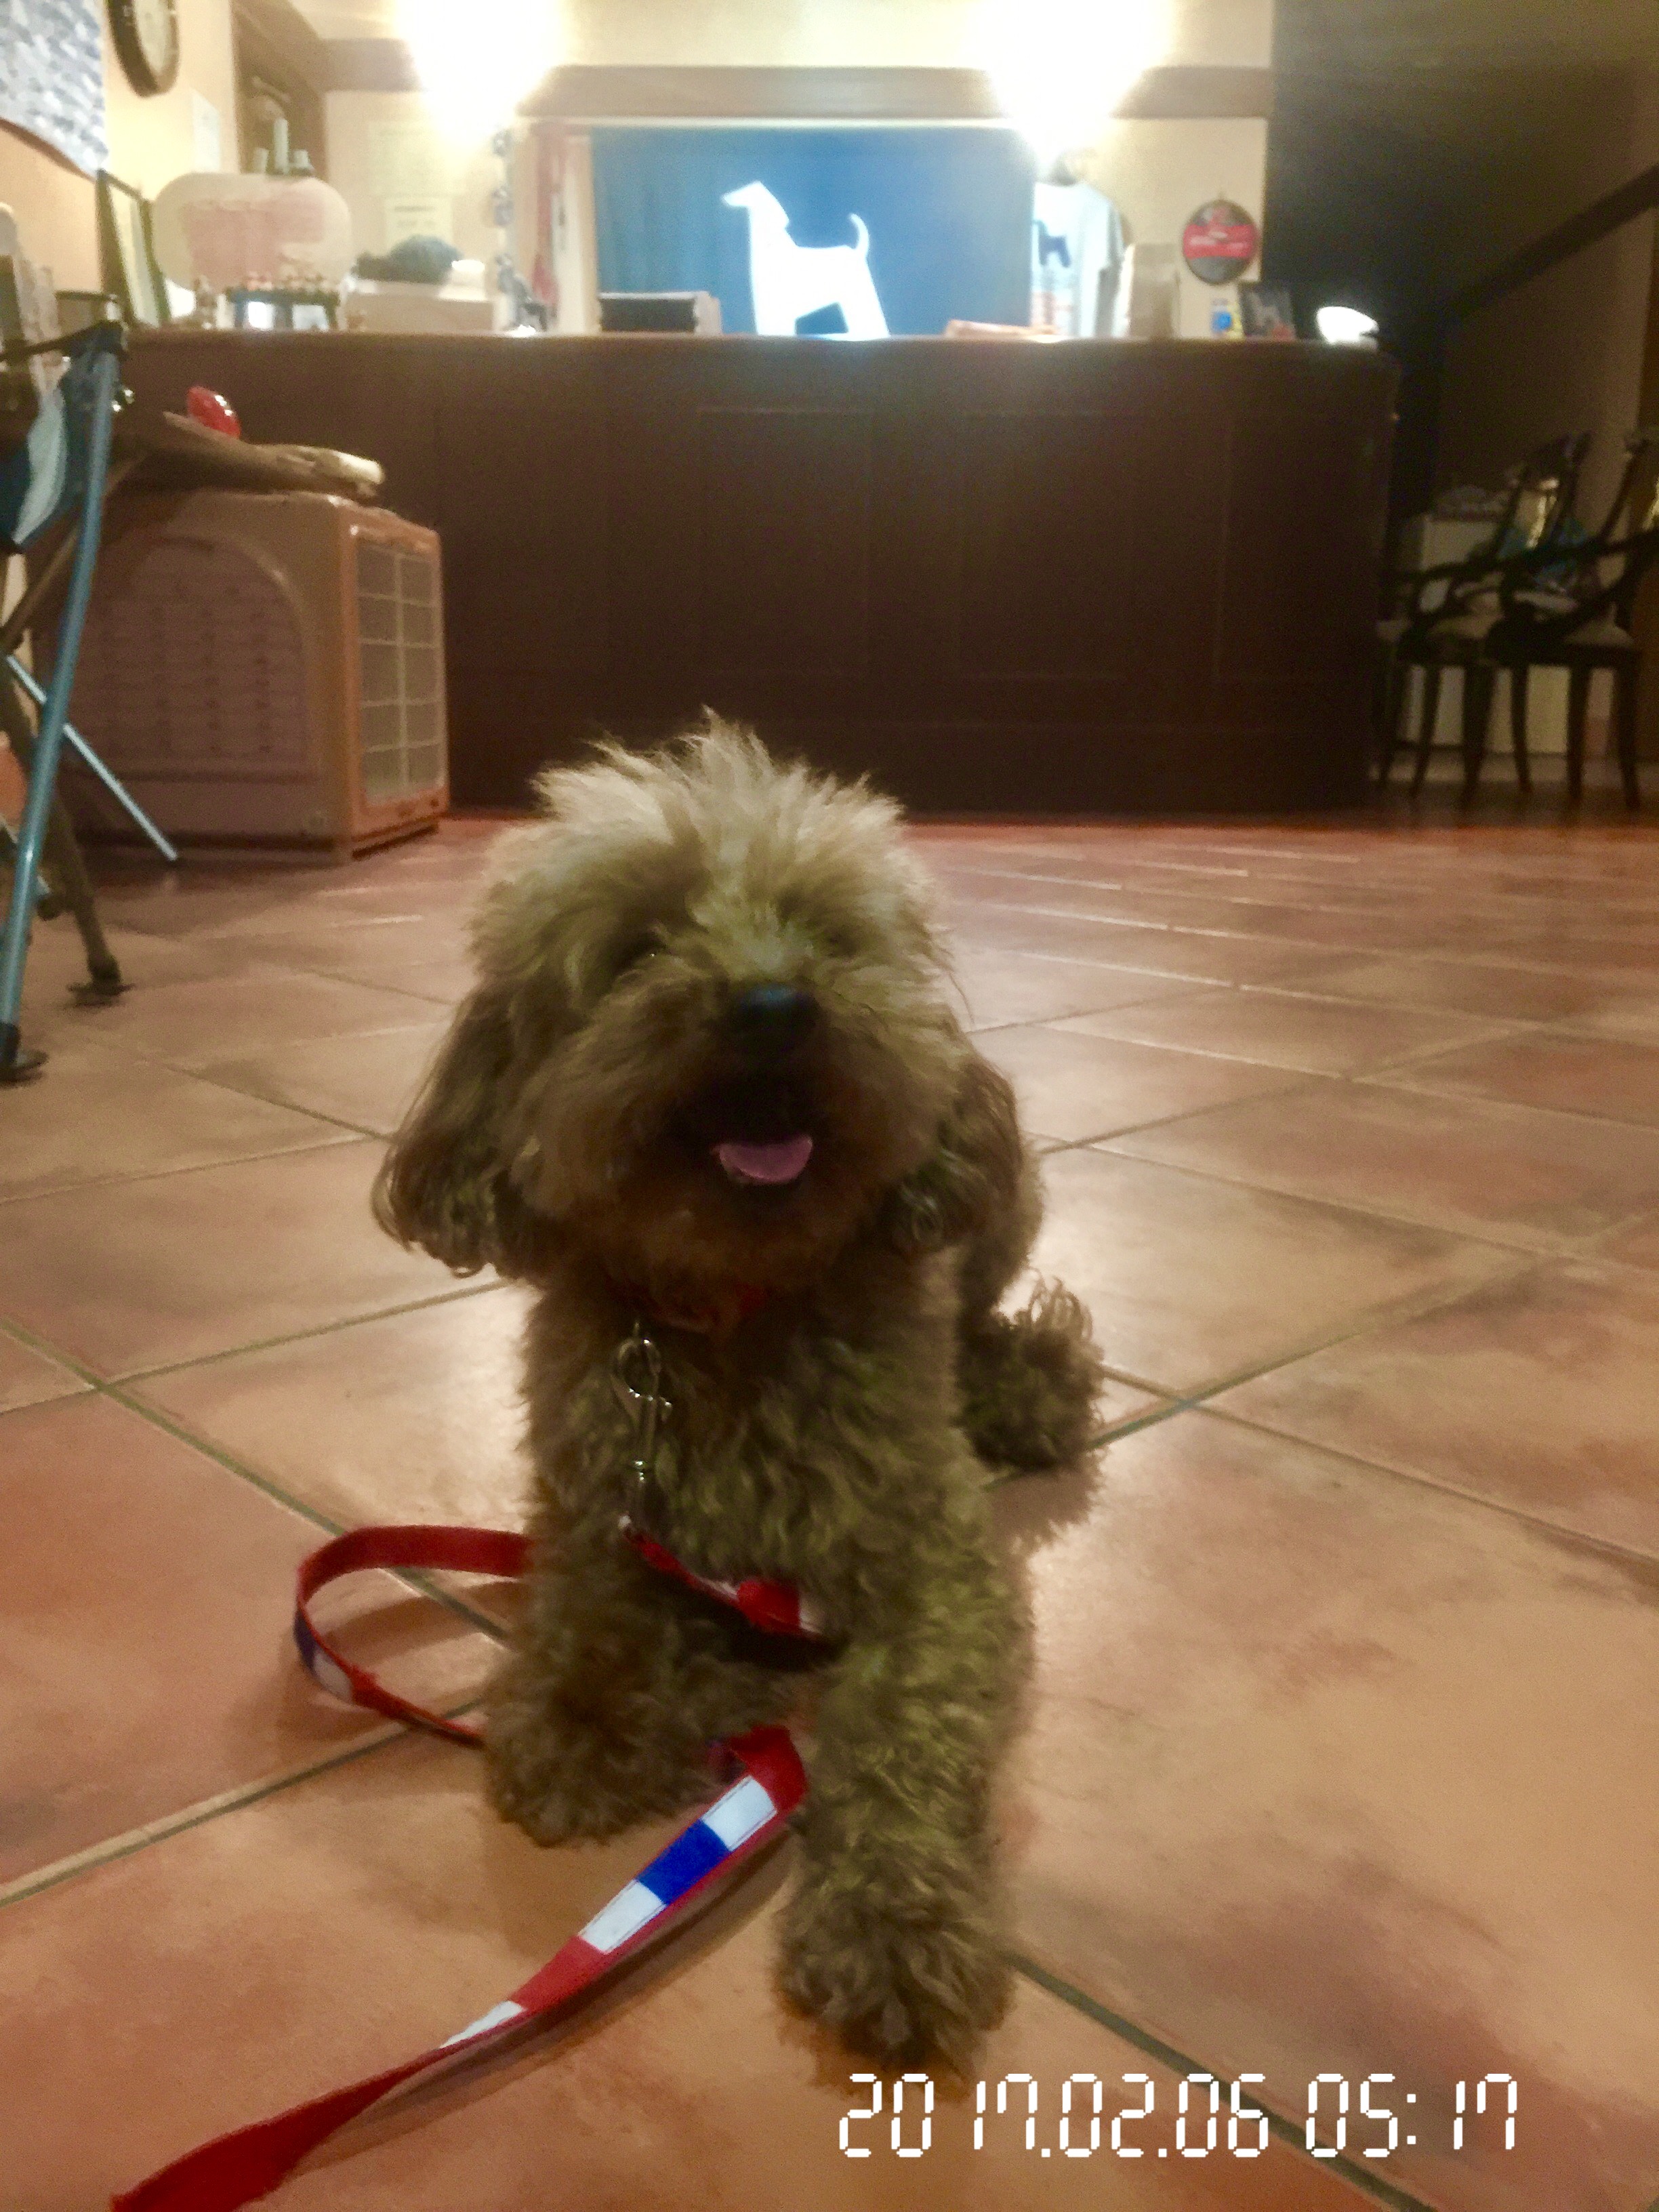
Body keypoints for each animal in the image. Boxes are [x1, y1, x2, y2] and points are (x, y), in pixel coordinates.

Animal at [375, 725, 1102, 2068]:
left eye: (823, 935)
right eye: (638, 946)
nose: (774, 1007)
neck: (729, 1312)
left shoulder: (936, 1563)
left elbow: (907, 1730)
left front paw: (894, 1921)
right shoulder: (591, 1500)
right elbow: (586, 1617)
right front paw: (591, 1720)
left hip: (1001, 1216)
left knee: (994, 1323)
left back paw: (1023, 1388)